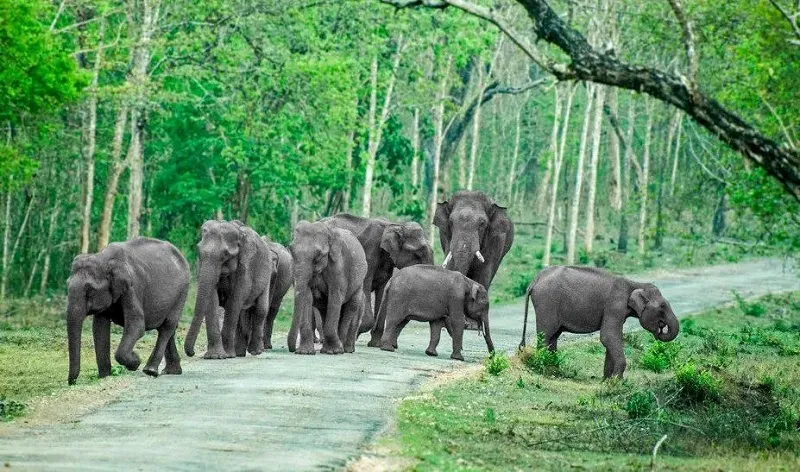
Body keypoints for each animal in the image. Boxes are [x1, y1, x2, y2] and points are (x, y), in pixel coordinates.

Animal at [66, 237, 189, 385]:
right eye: (67, 285)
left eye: (90, 291)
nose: (72, 382)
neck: (104, 258)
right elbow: (99, 328)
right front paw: (105, 376)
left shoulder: (132, 287)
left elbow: (137, 325)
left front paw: (135, 362)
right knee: (168, 328)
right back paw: (171, 371)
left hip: (182, 292)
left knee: (167, 326)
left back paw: (150, 371)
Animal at [184, 220, 273, 359]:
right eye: (199, 251)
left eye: (225, 254)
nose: (192, 353)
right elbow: (212, 300)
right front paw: (215, 357)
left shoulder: (245, 266)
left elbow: (235, 300)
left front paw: (226, 355)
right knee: (241, 313)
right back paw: (239, 353)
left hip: (267, 273)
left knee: (260, 310)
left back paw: (255, 351)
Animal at [287, 221, 367, 355]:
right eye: (291, 250)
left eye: (318, 256)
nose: (292, 349)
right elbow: (307, 297)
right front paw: (305, 352)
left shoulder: (339, 266)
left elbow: (335, 296)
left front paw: (334, 351)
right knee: (324, 309)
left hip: (359, 284)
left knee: (351, 307)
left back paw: (343, 349)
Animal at [320, 214, 433, 345]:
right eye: (416, 254)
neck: (396, 225)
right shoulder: (370, 251)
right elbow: (365, 284)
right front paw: (358, 334)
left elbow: (383, 290)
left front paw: (375, 343)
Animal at [521, 266, 680, 378]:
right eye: (663, 306)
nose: (660, 329)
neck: (634, 284)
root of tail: (535, 280)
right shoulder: (614, 305)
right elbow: (608, 336)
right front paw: (617, 382)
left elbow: (613, 338)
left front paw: (607, 381)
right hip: (546, 303)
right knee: (546, 335)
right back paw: (543, 368)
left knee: (553, 336)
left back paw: (554, 370)